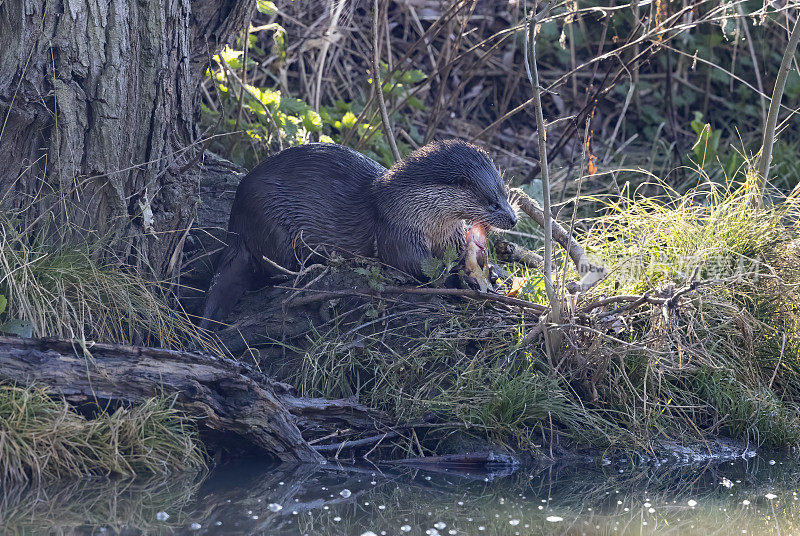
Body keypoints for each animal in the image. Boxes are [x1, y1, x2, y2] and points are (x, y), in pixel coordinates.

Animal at [200, 140, 520, 328]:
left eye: (504, 193)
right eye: (491, 202)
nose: (514, 218)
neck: (414, 209)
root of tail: (236, 226)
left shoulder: (450, 235)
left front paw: (490, 275)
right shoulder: (397, 230)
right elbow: (418, 268)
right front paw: (460, 279)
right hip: (270, 223)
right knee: (272, 271)